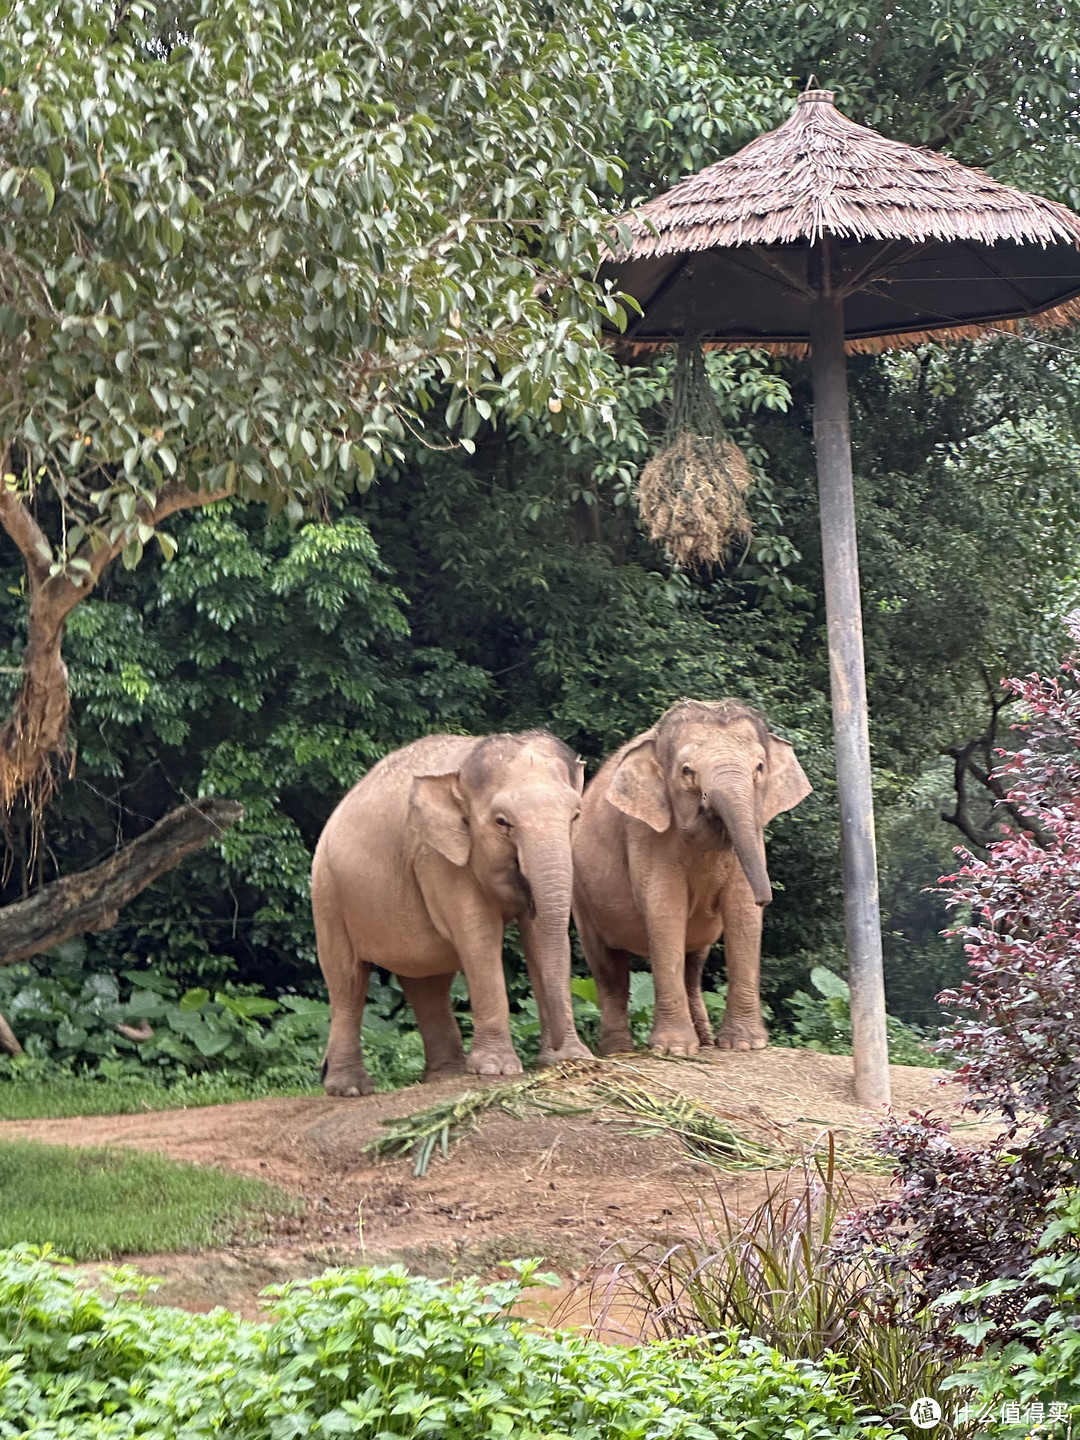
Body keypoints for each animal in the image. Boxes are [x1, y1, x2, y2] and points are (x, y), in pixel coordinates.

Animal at [312, 731, 593, 1088]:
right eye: (502, 822)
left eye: (576, 816)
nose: (555, 1052)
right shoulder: (439, 858)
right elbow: (479, 939)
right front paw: (496, 1069)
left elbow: (540, 936)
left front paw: (572, 1058)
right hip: (327, 893)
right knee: (347, 980)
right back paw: (350, 1088)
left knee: (426, 982)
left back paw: (445, 1076)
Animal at [576, 696, 812, 1059]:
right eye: (687, 772)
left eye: (759, 767)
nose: (768, 896)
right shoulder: (645, 831)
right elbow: (665, 910)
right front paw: (674, 1050)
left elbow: (742, 910)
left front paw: (745, 1045)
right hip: (581, 900)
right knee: (609, 970)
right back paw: (619, 1053)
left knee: (693, 964)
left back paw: (705, 1041)